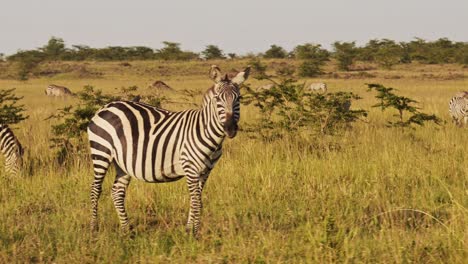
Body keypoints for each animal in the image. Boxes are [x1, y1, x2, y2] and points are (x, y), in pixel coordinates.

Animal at [86, 65, 250, 236]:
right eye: (218, 99)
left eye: (238, 98)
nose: (230, 129)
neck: (206, 131)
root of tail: (107, 106)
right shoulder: (190, 167)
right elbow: (196, 202)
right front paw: (193, 234)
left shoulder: (206, 171)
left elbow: (196, 200)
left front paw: (191, 230)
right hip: (101, 151)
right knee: (95, 189)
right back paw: (94, 228)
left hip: (122, 162)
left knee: (117, 192)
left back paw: (127, 230)